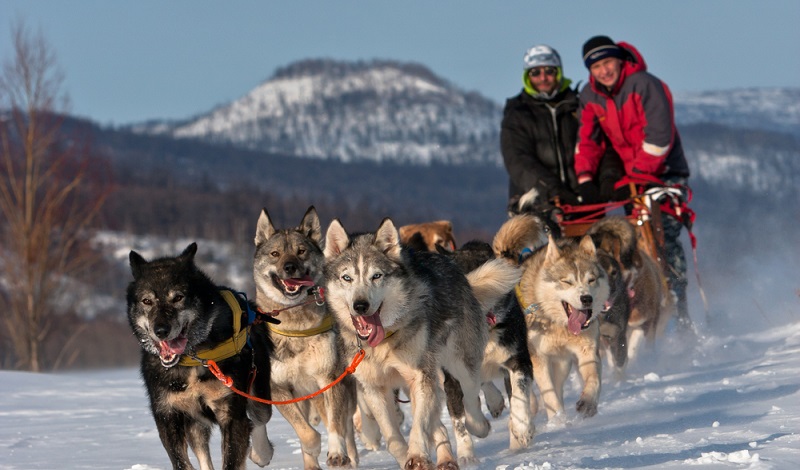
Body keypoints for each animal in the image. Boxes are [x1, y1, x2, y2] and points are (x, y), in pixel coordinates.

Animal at [255, 207, 358, 468]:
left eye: (301, 251)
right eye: (275, 254)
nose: (290, 267)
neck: (295, 328)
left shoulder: (329, 379)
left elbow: (336, 425)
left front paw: (337, 453)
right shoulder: (279, 389)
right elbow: (306, 433)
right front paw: (312, 449)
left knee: (346, 424)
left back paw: (350, 456)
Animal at [324, 218, 520, 468]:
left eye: (376, 276)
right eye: (346, 278)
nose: (360, 305)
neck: (385, 339)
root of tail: (454, 267)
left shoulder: (419, 376)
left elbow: (419, 425)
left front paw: (417, 455)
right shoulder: (375, 388)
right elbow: (393, 437)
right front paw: (408, 458)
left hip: (459, 362)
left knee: (471, 395)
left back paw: (479, 426)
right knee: (440, 422)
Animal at [506, 235, 612, 422]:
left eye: (591, 280)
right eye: (567, 282)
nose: (586, 298)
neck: (559, 325)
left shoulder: (588, 352)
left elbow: (594, 380)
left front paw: (588, 403)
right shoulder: (538, 358)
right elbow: (548, 394)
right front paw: (558, 422)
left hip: (562, 363)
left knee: (557, 385)